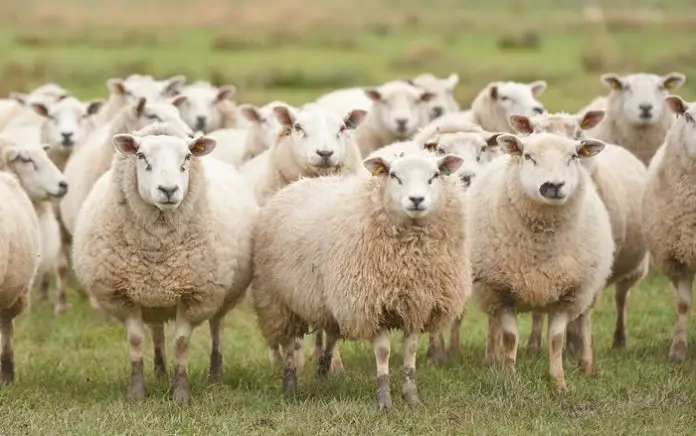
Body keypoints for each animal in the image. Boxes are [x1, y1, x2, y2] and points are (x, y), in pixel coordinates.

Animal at [71, 123, 258, 402]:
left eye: (187, 158)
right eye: (141, 156)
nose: (168, 190)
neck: (157, 250)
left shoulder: (195, 295)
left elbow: (181, 342)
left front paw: (180, 392)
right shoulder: (123, 295)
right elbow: (137, 340)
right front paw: (137, 392)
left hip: (221, 295)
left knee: (216, 327)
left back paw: (215, 372)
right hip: (152, 298)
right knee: (157, 331)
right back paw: (159, 370)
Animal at [251, 150, 470, 408]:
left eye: (434, 176)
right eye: (394, 175)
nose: (416, 200)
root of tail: (297, 184)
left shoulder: (418, 305)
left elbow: (411, 351)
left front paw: (411, 397)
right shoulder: (371, 303)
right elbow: (383, 353)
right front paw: (384, 400)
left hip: (326, 301)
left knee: (330, 334)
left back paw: (323, 371)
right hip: (278, 300)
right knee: (289, 344)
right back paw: (289, 385)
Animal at [468, 132, 614, 392]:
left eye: (573, 156)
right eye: (528, 156)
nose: (553, 186)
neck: (541, 245)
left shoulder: (568, 295)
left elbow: (556, 340)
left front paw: (559, 384)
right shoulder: (502, 291)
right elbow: (510, 338)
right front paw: (509, 377)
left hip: (588, 290)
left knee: (584, 322)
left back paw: (587, 366)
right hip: (488, 290)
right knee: (493, 323)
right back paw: (491, 359)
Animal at [509, 110, 649, 353]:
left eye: (577, 134)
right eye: (535, 132)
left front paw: (574, 346)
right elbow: (538, 310)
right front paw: (533, 345)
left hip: (633, 267)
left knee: (621, 298)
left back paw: (619, 340)